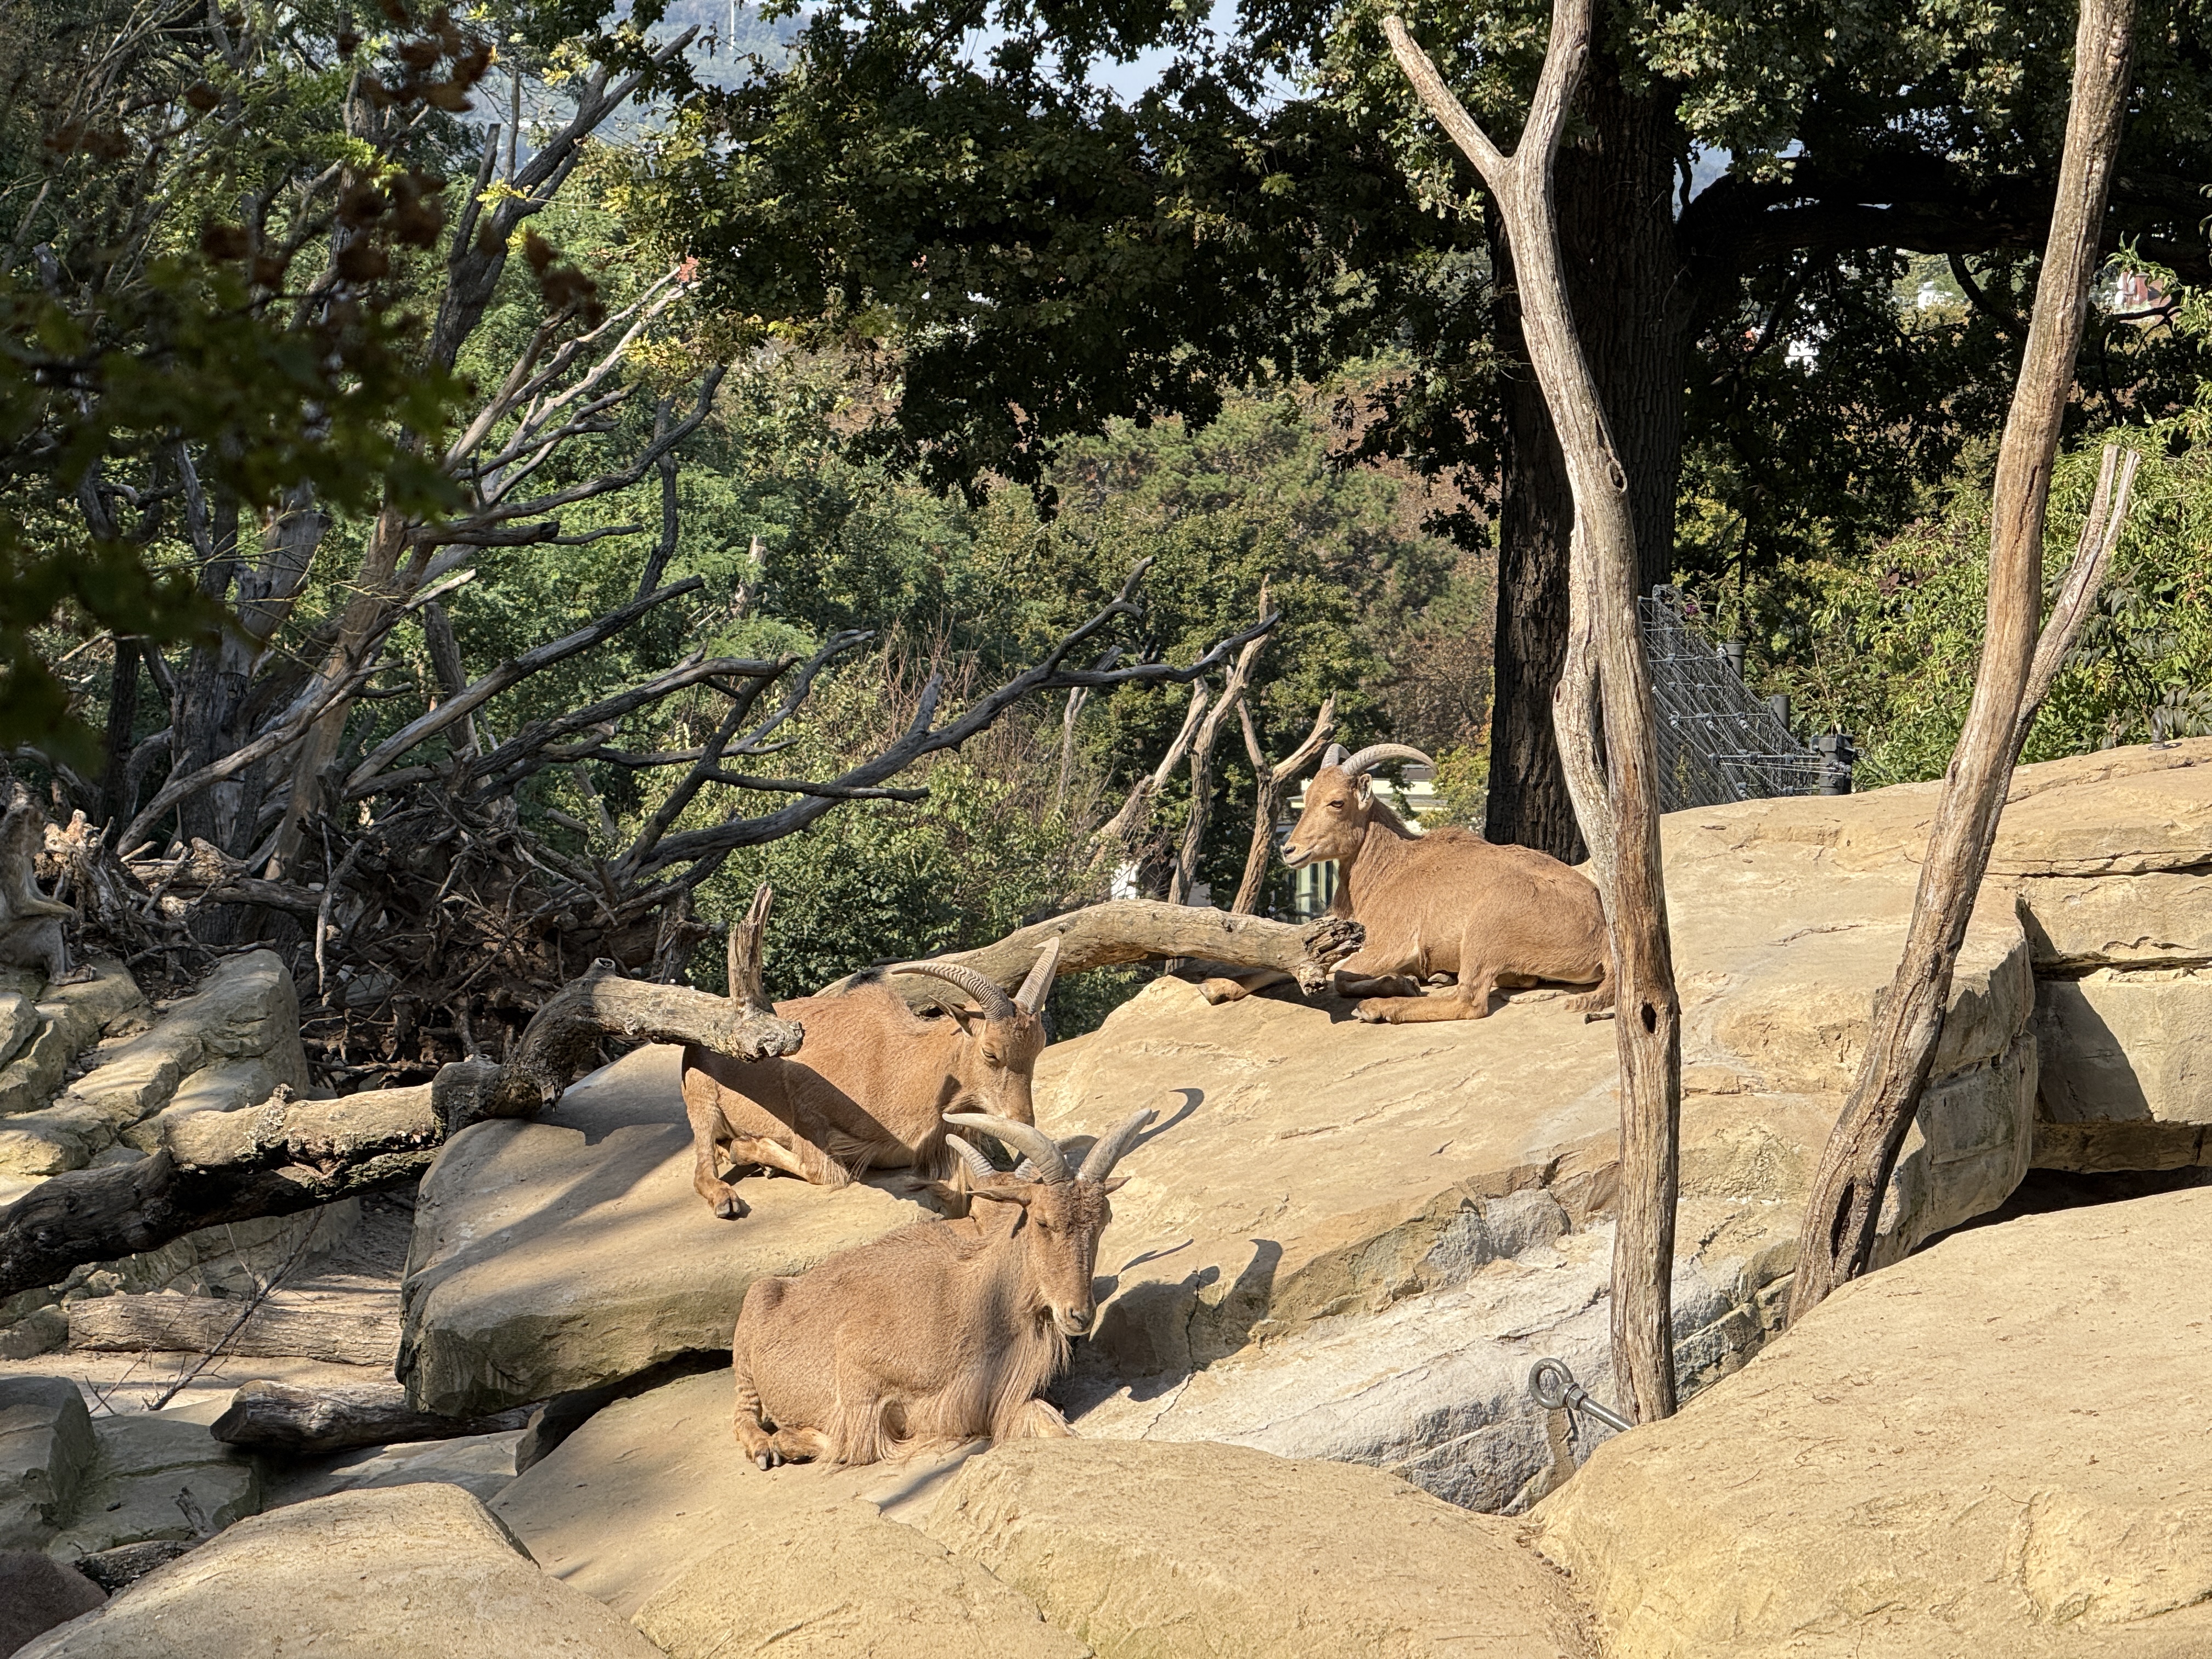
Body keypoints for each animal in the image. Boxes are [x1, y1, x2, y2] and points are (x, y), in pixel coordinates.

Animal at [681, 940, 1061, 1220]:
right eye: (991, 1053)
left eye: (1039, 1047)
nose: (1024, 1121)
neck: (899, 1067)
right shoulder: (808, 1115)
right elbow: (824, 1171)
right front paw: (748, 1149)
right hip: (702, 1102)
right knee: (702, 1169)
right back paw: (727, 1195)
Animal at [728, 1107, 1153, 1470]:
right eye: (1043, 1221)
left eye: (1103, 1222)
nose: (1078, 1314)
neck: (975, 1301)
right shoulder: (857, 1369)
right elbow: (859, 1442)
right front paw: (789, 1440)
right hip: (749, 1339)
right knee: (744, 1413)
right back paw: (767, 1447)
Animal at [1272, 742, 1613, 1023]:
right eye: (1307, 798)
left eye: (1337, 803)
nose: (1290, 851)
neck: (1391, 870)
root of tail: (1603, 939)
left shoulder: (1390, 944)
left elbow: (1342, 976)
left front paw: (1402, 984)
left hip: (1488, 923)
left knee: (1469, 1002)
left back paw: (1379, 1008)